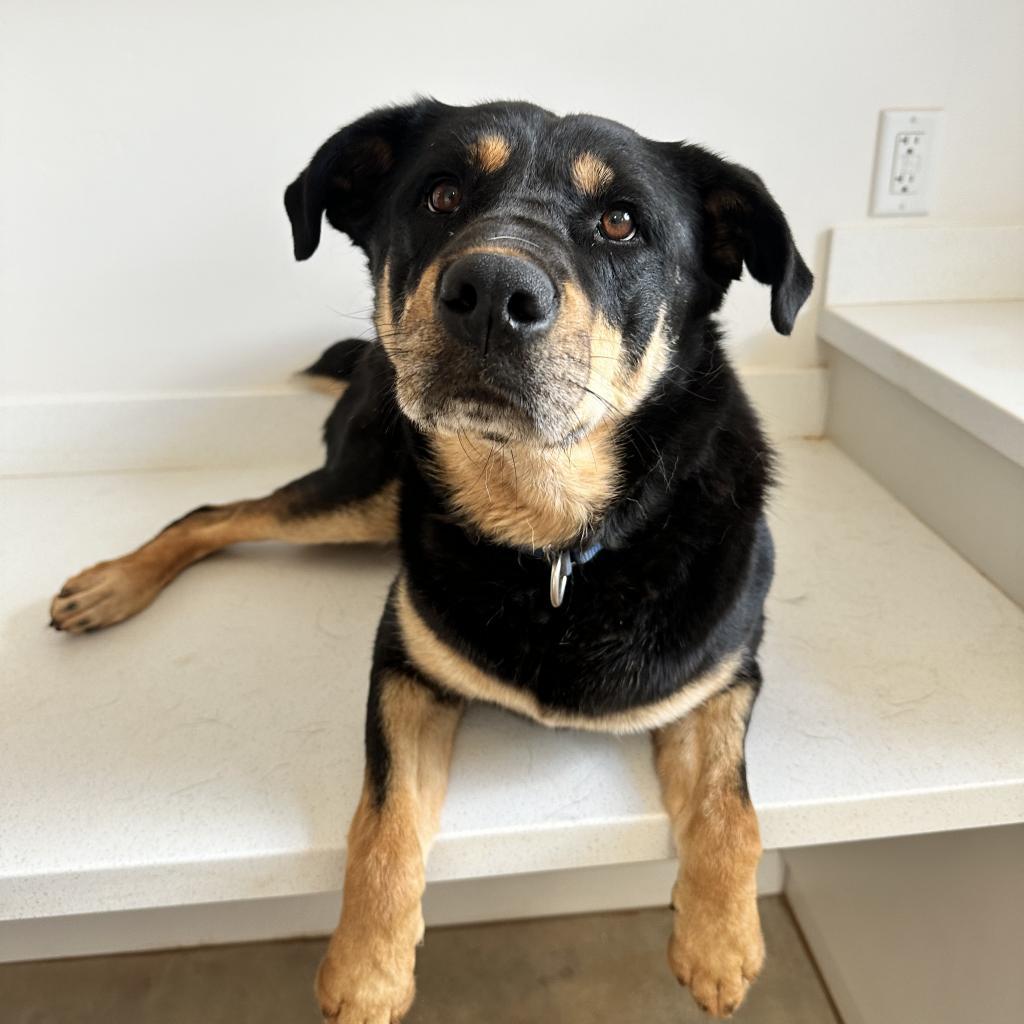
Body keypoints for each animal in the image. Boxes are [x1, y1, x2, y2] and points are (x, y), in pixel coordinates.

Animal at [49, 97, 815, 1024]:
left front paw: (721, 943)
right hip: (366, 491)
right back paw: (109, 587)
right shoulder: (405, 669)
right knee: (214, 514)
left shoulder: (726, 679)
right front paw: (366, 971)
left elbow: (732, 808)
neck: (553, 541)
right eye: (442, 194)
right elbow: (383, 826)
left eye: (622, 222)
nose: (492, 294)